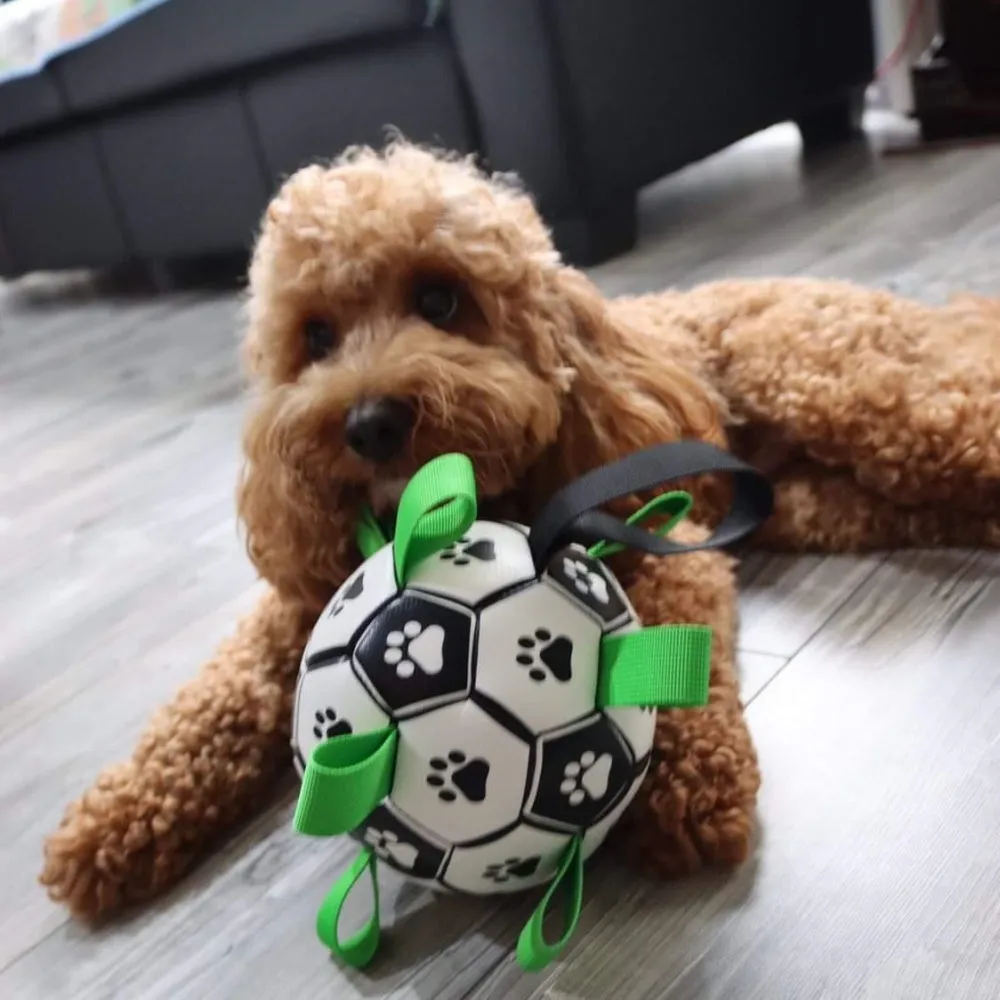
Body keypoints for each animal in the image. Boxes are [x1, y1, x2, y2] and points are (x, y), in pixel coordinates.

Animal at [39, 141, 1000, 920]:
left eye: (440, 298)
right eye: (314, 337)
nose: (370, 423)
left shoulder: (661, 543)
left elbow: (672, 654)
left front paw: (688, 787)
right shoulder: (306, 605)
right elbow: (210, 702)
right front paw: (112, 822)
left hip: (856, 398)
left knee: (966, 416)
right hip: (827, 499)